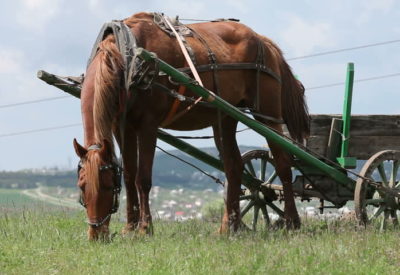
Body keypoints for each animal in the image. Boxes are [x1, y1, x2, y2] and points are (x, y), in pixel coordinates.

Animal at [72, 12, 310, 242]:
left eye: (106, 185)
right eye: (81, 186)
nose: (96, 235)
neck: (127, 58)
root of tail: (263, 40)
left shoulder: (148, 125)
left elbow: (143, 178)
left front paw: (145, 229)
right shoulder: (121, 127)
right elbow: (130, 176)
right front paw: (130, 227)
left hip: (268, 116)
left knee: (283, 163)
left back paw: (292, 221)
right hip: (225, 117)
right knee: (234, 166)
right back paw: (229, 226)